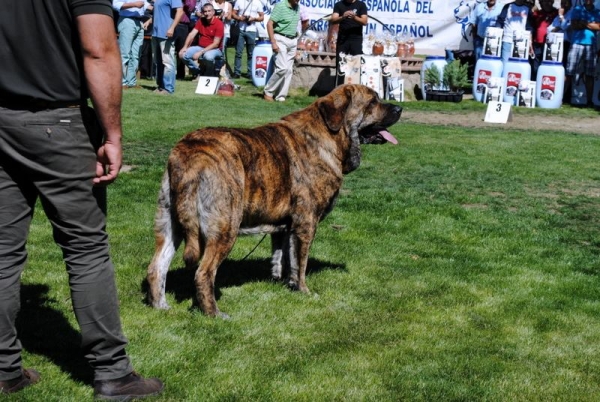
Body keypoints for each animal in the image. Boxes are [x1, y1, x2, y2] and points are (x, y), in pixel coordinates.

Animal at [146, 84, 400, 318]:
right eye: (373, 102)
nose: (399, 108)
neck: (328, 134)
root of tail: (190, 155)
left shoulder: (286, 226)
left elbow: (283, 257)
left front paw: (284, 283)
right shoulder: (306, 222)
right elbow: (300, 262)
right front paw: (304, 290)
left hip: (169, 224)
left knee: (156, 267)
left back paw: (161, 307)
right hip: (225, 227)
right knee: (203, 273)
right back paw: (215, 314)